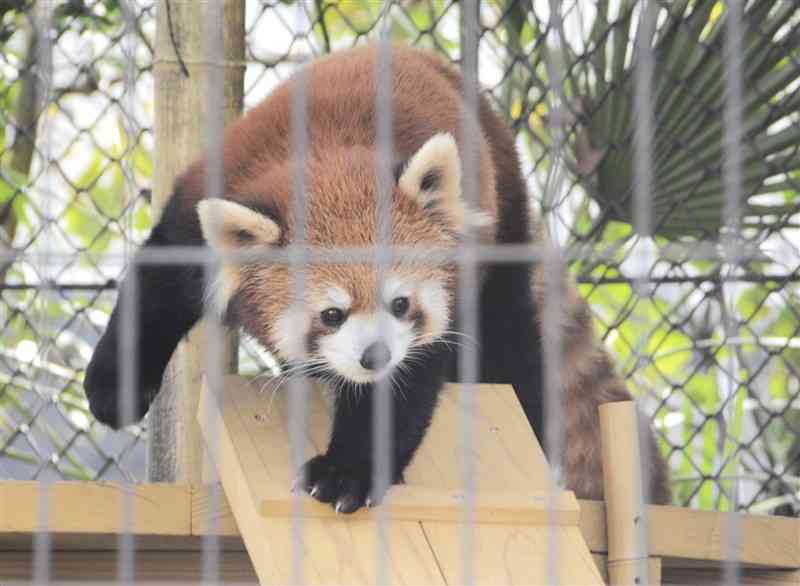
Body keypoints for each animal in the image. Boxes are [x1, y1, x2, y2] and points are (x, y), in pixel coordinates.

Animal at [84, 45, 672, 508]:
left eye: (401, 304)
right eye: (331, 314)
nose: (374, 356)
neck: (327, 161)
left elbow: (403, 387)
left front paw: (347, 473)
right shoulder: (202, 201)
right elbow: (156, 289)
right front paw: (116, 387)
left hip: (503, 214)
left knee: (510, 337)